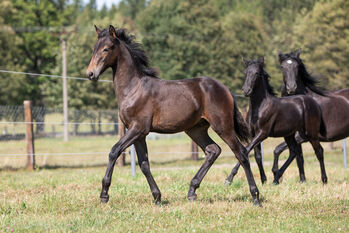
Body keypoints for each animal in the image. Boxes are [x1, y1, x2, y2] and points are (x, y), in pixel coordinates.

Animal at [85, 24, 260, 205]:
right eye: (94, 49)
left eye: (106, 48)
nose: (90, 74)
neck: (134, 88)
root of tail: (225, 90)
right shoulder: (139, 134)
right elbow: (144, 164)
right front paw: (157, 197)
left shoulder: (138, 129)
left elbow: (114, 151)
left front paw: (104, 194)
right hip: (195, 129)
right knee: (213, 150)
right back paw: (192, 191)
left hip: (223, 127)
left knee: (241, 154)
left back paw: (255, 196)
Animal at [272, 49, 348, 182]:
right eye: (282, 67)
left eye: (297, 66)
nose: (291, 88)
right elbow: (296, 157)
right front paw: (301, 180)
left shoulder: (302, 137)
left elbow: (283, 151)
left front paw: (277, 174)